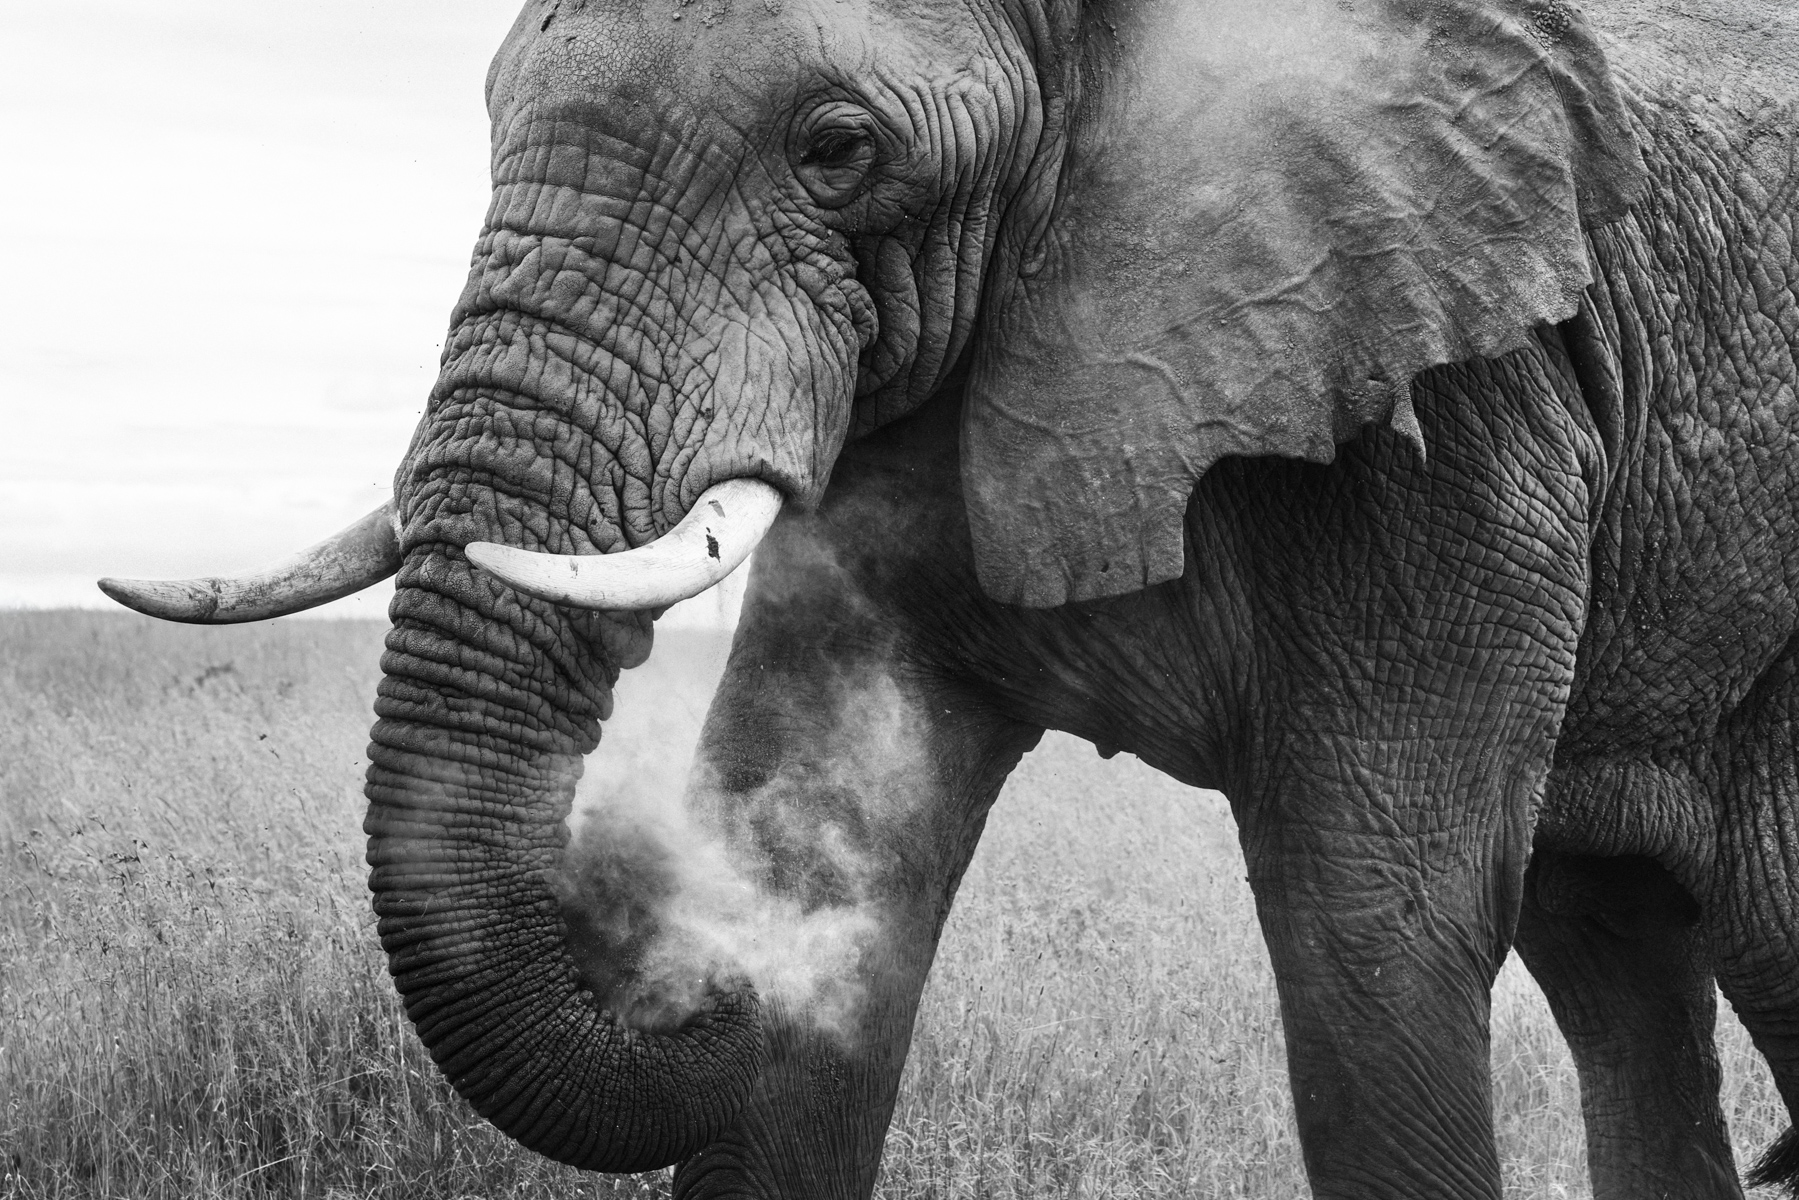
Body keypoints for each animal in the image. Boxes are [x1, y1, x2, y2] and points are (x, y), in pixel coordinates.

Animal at [98, 0, 1799, 1195]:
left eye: (836, 148)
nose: (657, 953)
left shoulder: (1446, 404)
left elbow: (1371, 933)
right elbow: (835, 851)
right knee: (1618, 976)